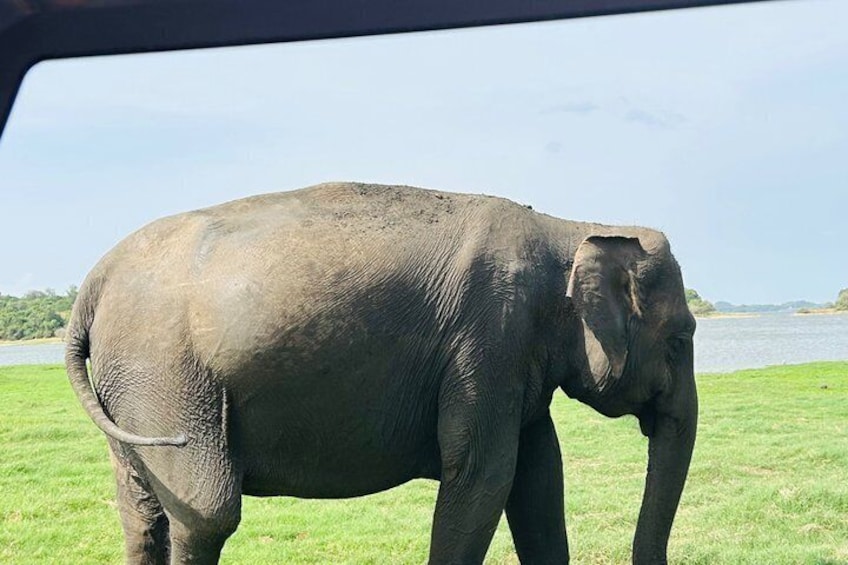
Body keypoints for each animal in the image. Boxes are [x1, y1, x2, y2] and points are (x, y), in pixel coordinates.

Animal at [65, 182, 697, 564]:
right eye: (683, 337)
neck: (568, 228)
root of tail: (91, 285)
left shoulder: (515, 360)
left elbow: (539, 477)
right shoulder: (489, 340)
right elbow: (482, 475)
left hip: (131, 389)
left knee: (143, 511)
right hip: (167, 376)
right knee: (206, 513)